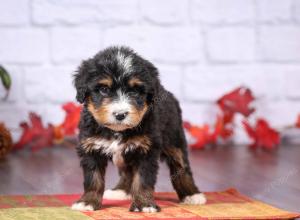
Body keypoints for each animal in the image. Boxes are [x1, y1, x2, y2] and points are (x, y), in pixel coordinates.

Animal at [72, 45, 206, 212]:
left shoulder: (146, 150)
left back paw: (192, 195)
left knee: (182, 167)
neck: (117, 131)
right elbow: (93, 179)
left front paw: (144, 204)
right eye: (104, 89)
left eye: (135, 91)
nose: (120, 114)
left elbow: (142, 180)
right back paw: (121, 191)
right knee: (127, 171)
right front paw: (87, 202)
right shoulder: (91, 148)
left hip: (174, 139)